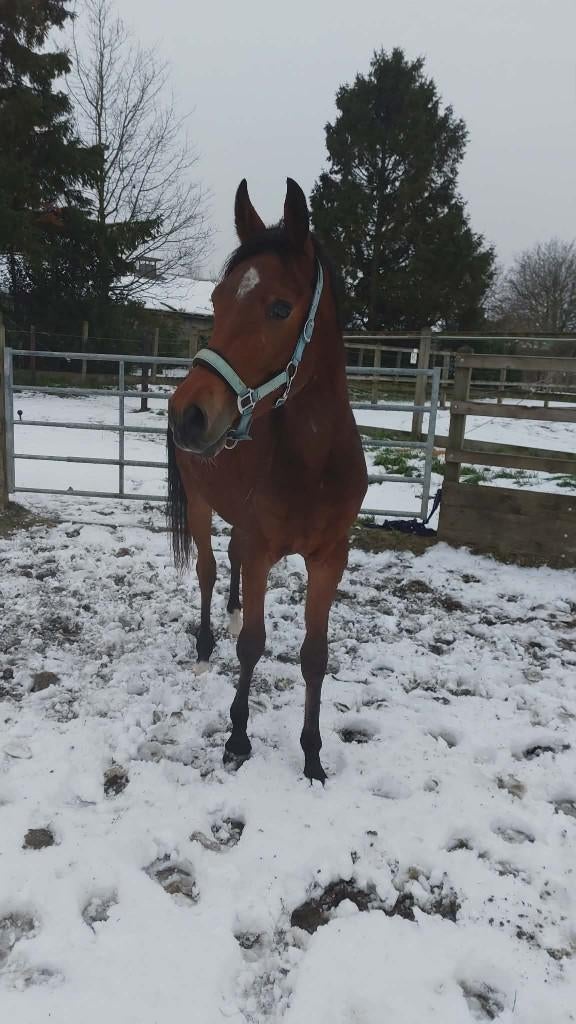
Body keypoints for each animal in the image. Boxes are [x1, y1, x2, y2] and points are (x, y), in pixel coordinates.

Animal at [167, 178, 367, 782]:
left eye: (280, 307)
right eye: (216, 301)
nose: (188, 414)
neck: (313, 461)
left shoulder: (329, 558)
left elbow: (314, 655)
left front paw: (313, 756)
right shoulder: (261, 551)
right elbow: (253, 646)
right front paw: (237, 738)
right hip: (202, 506)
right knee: (209, 571)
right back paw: (207, 643)